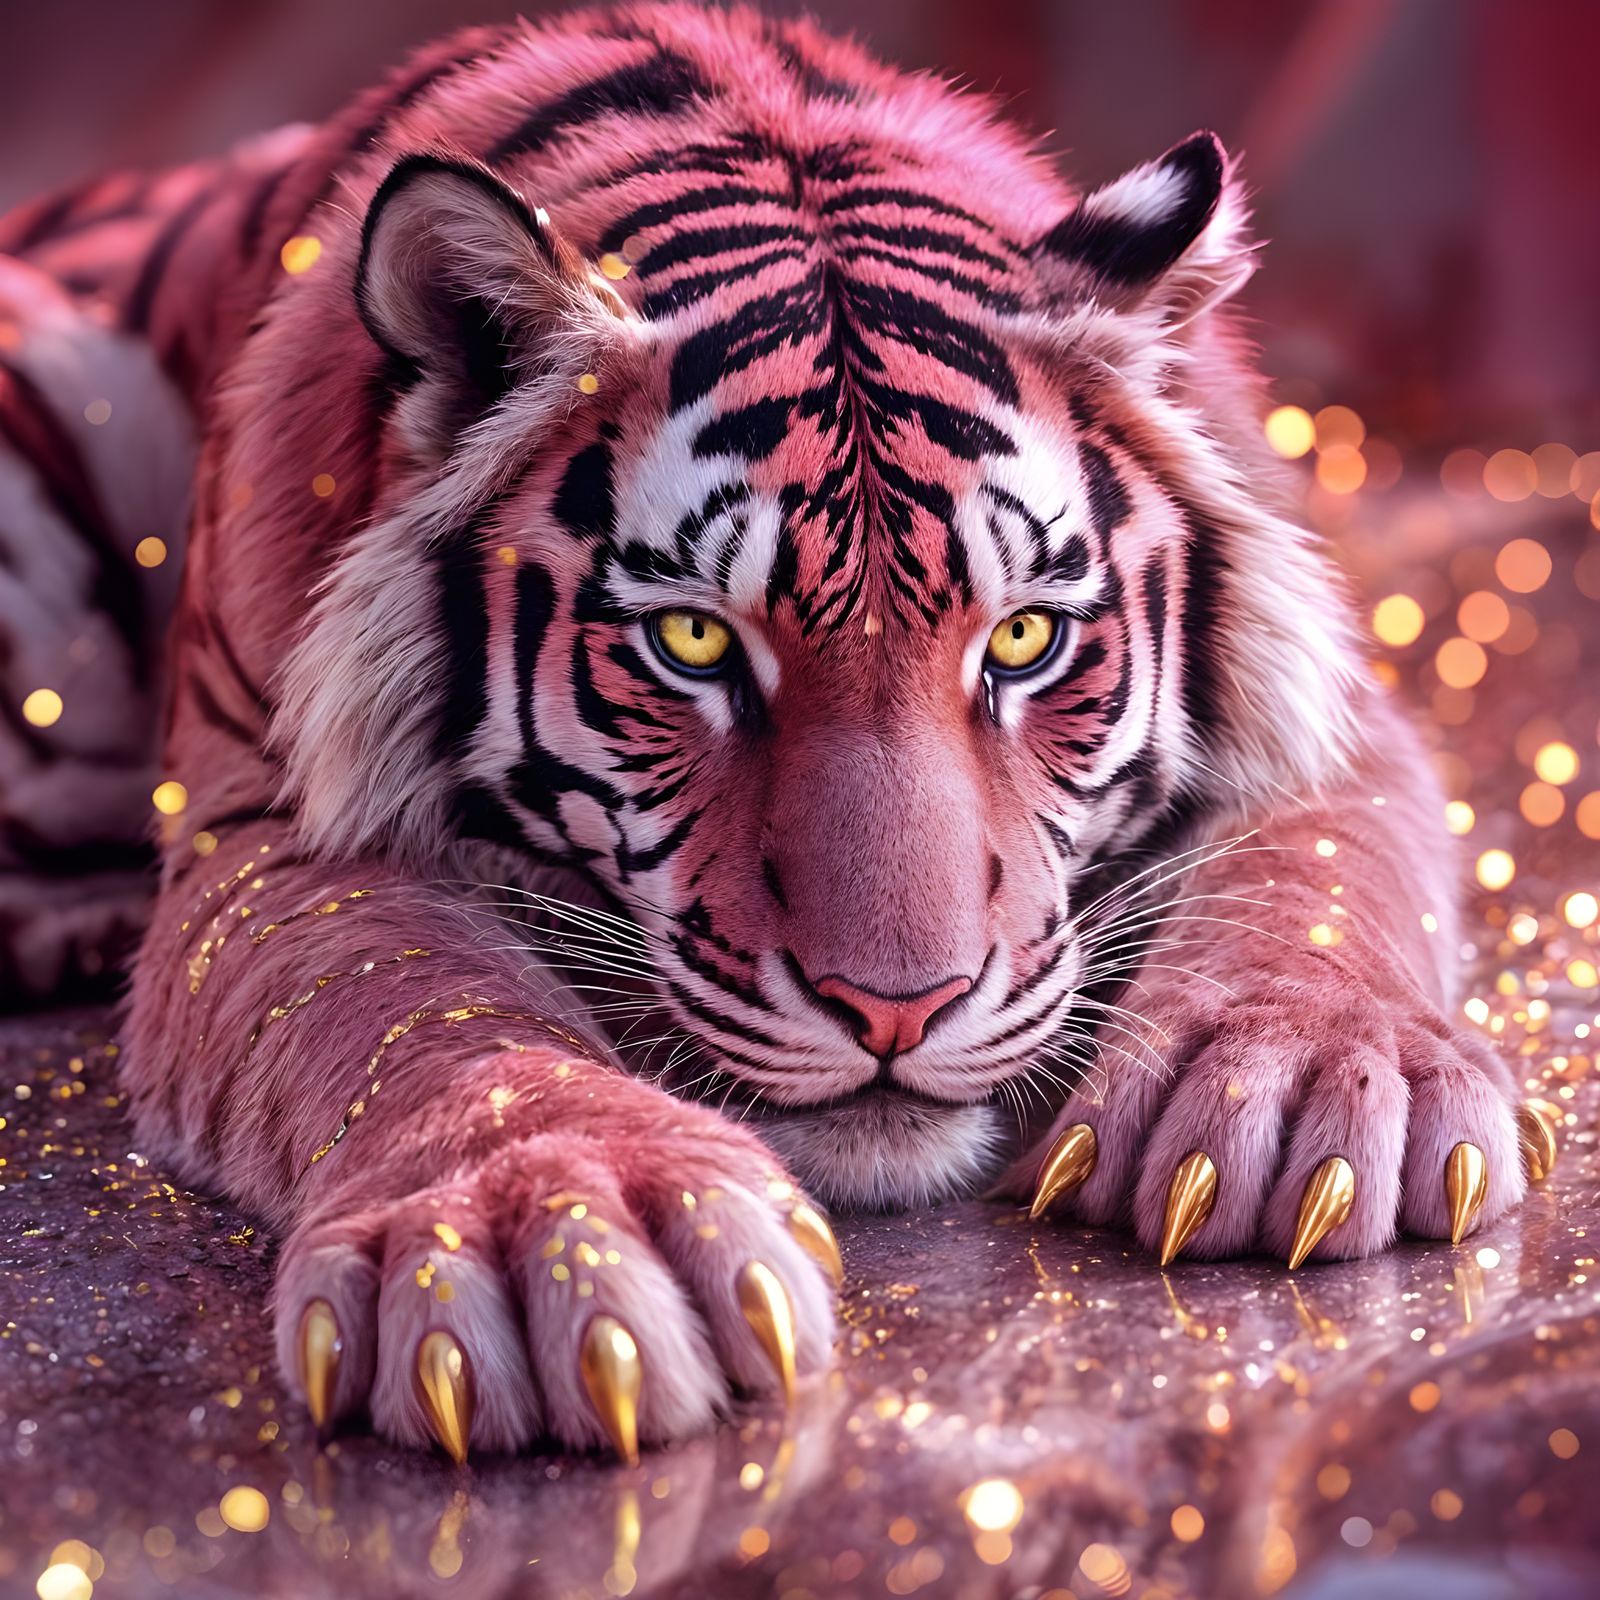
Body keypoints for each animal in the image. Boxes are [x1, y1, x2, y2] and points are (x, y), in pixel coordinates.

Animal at [0, 3, 1531, 1461]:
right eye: (693, 643)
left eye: (1023, 638)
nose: (899, 1010)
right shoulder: (263, 828)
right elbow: (400, 991)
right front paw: (541, 1216)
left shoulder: (1343, 714)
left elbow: (1314, 871)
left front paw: (1310, 1078)